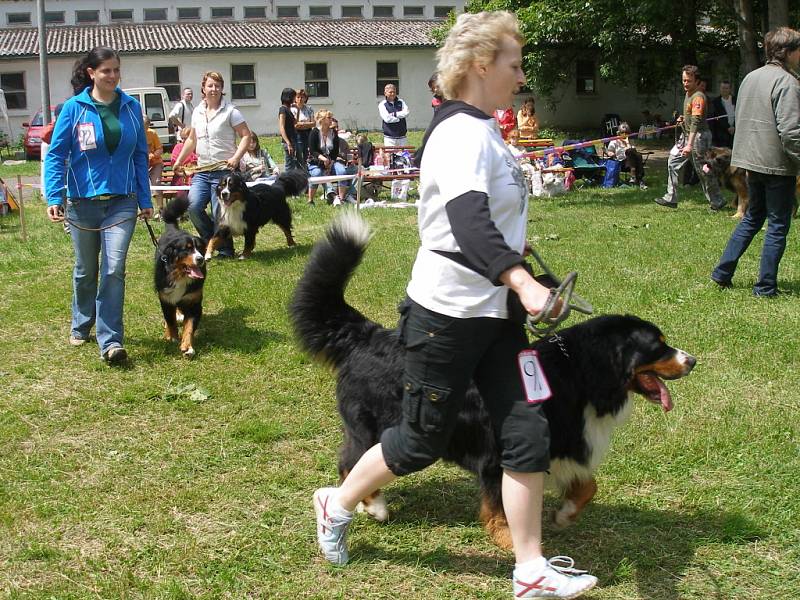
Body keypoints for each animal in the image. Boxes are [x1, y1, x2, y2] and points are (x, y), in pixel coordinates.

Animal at [155, 197, 206, 358]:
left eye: (200, 249)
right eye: (187, 249)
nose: (201, 259)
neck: (180, 276)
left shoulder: (193, 302)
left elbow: (189, 327)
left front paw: (187, 347)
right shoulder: (165, 298)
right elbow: (170, 320)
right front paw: (171, 337)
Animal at [290, 213, 696, 552]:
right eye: (658, 345)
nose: (691, 360)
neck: (578, 375)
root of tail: (367, 334)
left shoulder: (563, 446)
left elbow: (588, 485)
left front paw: (564, 513)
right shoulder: (498, 454)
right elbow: (499, 501)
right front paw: (509, 538)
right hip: (374, 426)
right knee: (351, 461)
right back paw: (370, 506)